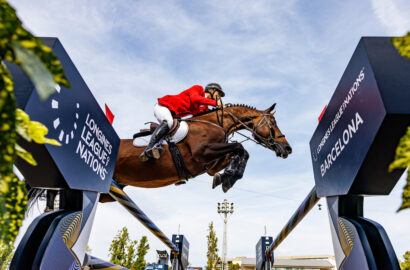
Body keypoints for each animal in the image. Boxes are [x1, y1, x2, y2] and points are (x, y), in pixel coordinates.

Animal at [112, 102, 292, 191]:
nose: (287, 148)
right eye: (273, 123)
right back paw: (149, 151)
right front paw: (229, 176)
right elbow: (239, 148)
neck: (215, 123)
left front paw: (226, 178)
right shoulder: (202, 152)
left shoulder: (210, 164)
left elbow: (240, 153)